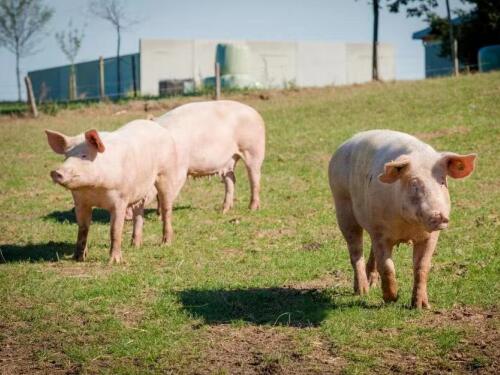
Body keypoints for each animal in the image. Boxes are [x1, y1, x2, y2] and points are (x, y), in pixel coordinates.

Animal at [45, 120, 181, 264]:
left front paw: (114, 261)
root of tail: (157, 127)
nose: (56, 172)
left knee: (166, 209)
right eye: (66, 157)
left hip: (166, 174)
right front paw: (78, 259)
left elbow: (115, 230)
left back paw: (165, 244)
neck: (94, 189)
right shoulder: (80, 202)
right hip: (139, 189)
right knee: (139, 213)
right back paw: (135, 246)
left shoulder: (120, 200)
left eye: (84, 156)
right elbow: (83, 228)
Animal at [328, 129, 476, 308]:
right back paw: (362, 291)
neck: (407, 225)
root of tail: (347, 142)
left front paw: (421, 306)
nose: (439, 216)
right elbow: (387, 266)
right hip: (342, 205)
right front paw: (392, 299)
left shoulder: (430, 236)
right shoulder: (380, 231)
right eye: (414, 184)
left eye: (442, 182)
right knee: (356, 250)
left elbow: (421, 267)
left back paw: (371, 284)